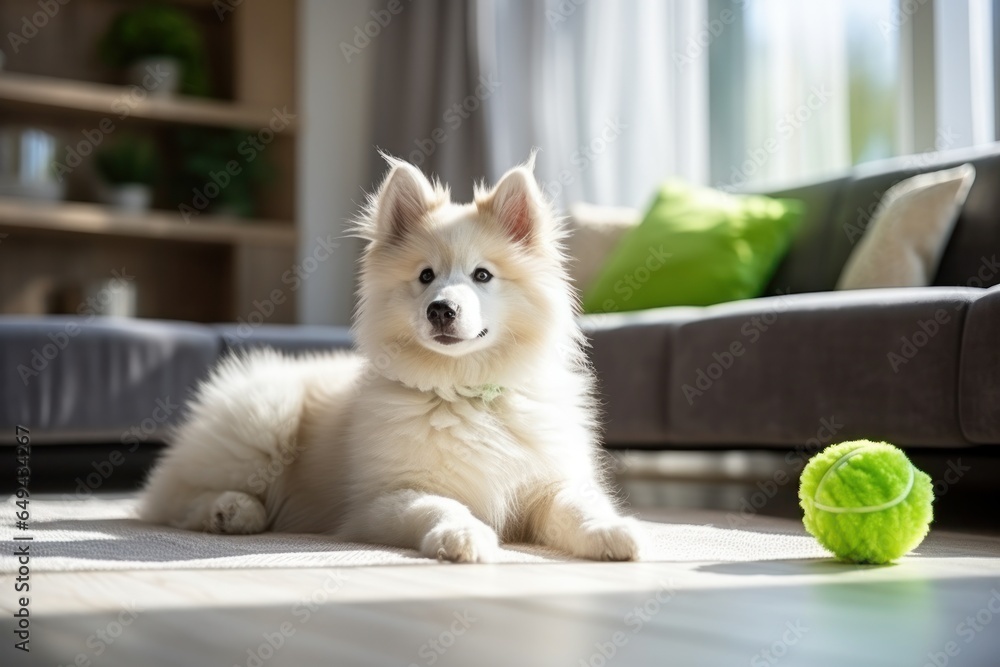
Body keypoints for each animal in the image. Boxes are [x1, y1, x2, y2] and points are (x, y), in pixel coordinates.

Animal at [139, 157, 640, 564]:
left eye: (482, 275)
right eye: (425, 276)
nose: (441, 309)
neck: (465, 390)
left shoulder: (550, 481)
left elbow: (577, 506)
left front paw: (613, 531)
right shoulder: (386, 498)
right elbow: (438, 505)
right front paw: (463, 535)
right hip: (262, 422)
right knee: (172, 498)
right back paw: (232, 510)